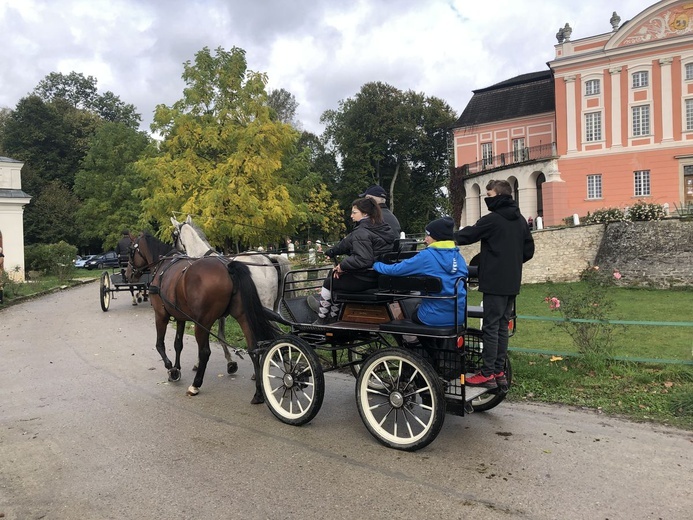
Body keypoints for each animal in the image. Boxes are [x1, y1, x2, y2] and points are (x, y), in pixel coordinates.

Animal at [125, 233, 278, 402]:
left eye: (131, 250)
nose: (127, 274)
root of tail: (228, 267)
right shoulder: (180, 317)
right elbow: (178, 344)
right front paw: (177, 368)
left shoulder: (160, 315)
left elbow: (160, 345)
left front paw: (171, 369)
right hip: (243, 316)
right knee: (253, 349)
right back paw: (258, 391)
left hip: (202, 322)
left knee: (204, 352)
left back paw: (195, 385)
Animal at [172, 215, 294, 374]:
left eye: (174, 234)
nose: (174, 251)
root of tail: (269, 259)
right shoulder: (220, 312)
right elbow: (221, 335)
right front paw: (230, 362)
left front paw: (200, 363)